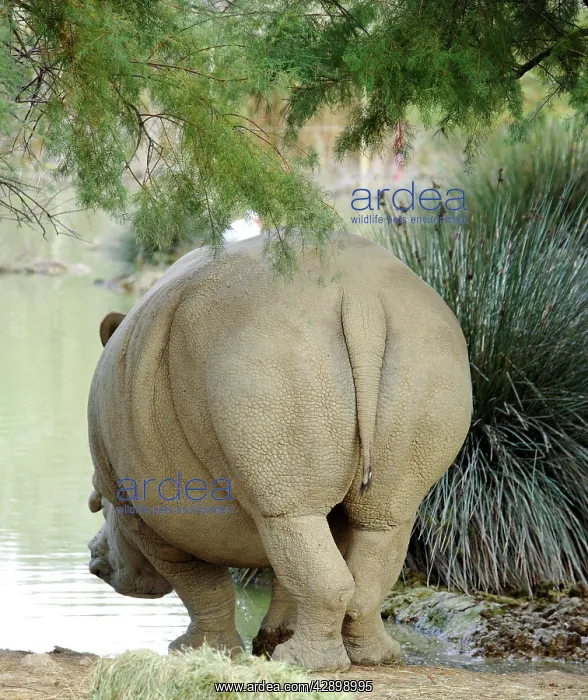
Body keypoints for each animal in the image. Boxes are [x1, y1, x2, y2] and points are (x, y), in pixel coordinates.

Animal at [87, 233, 472, 671]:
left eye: (96, 504)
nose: (92, 558)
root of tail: (361, 299)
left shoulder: (145, 510)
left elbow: (201, 585)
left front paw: (196, 652)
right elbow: (290, 572)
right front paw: (269, 643)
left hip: (267, 355)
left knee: (294, 522)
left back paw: (307, 664)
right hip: (423, 356)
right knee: (379, 524)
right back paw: (374, 659)